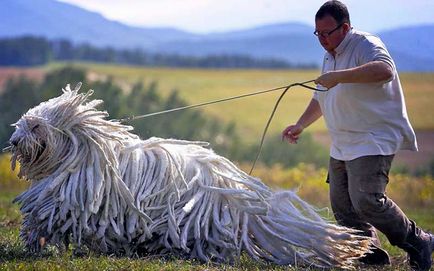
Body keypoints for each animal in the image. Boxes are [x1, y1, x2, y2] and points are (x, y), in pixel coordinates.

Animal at [7, 83, 370, 270]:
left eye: (36, 126)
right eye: (23, 122)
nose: (13, 141)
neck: (82, 152)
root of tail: (236, 187)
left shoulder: (67, 200)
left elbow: (45, 218)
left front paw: (36, 243)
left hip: (196, 217)